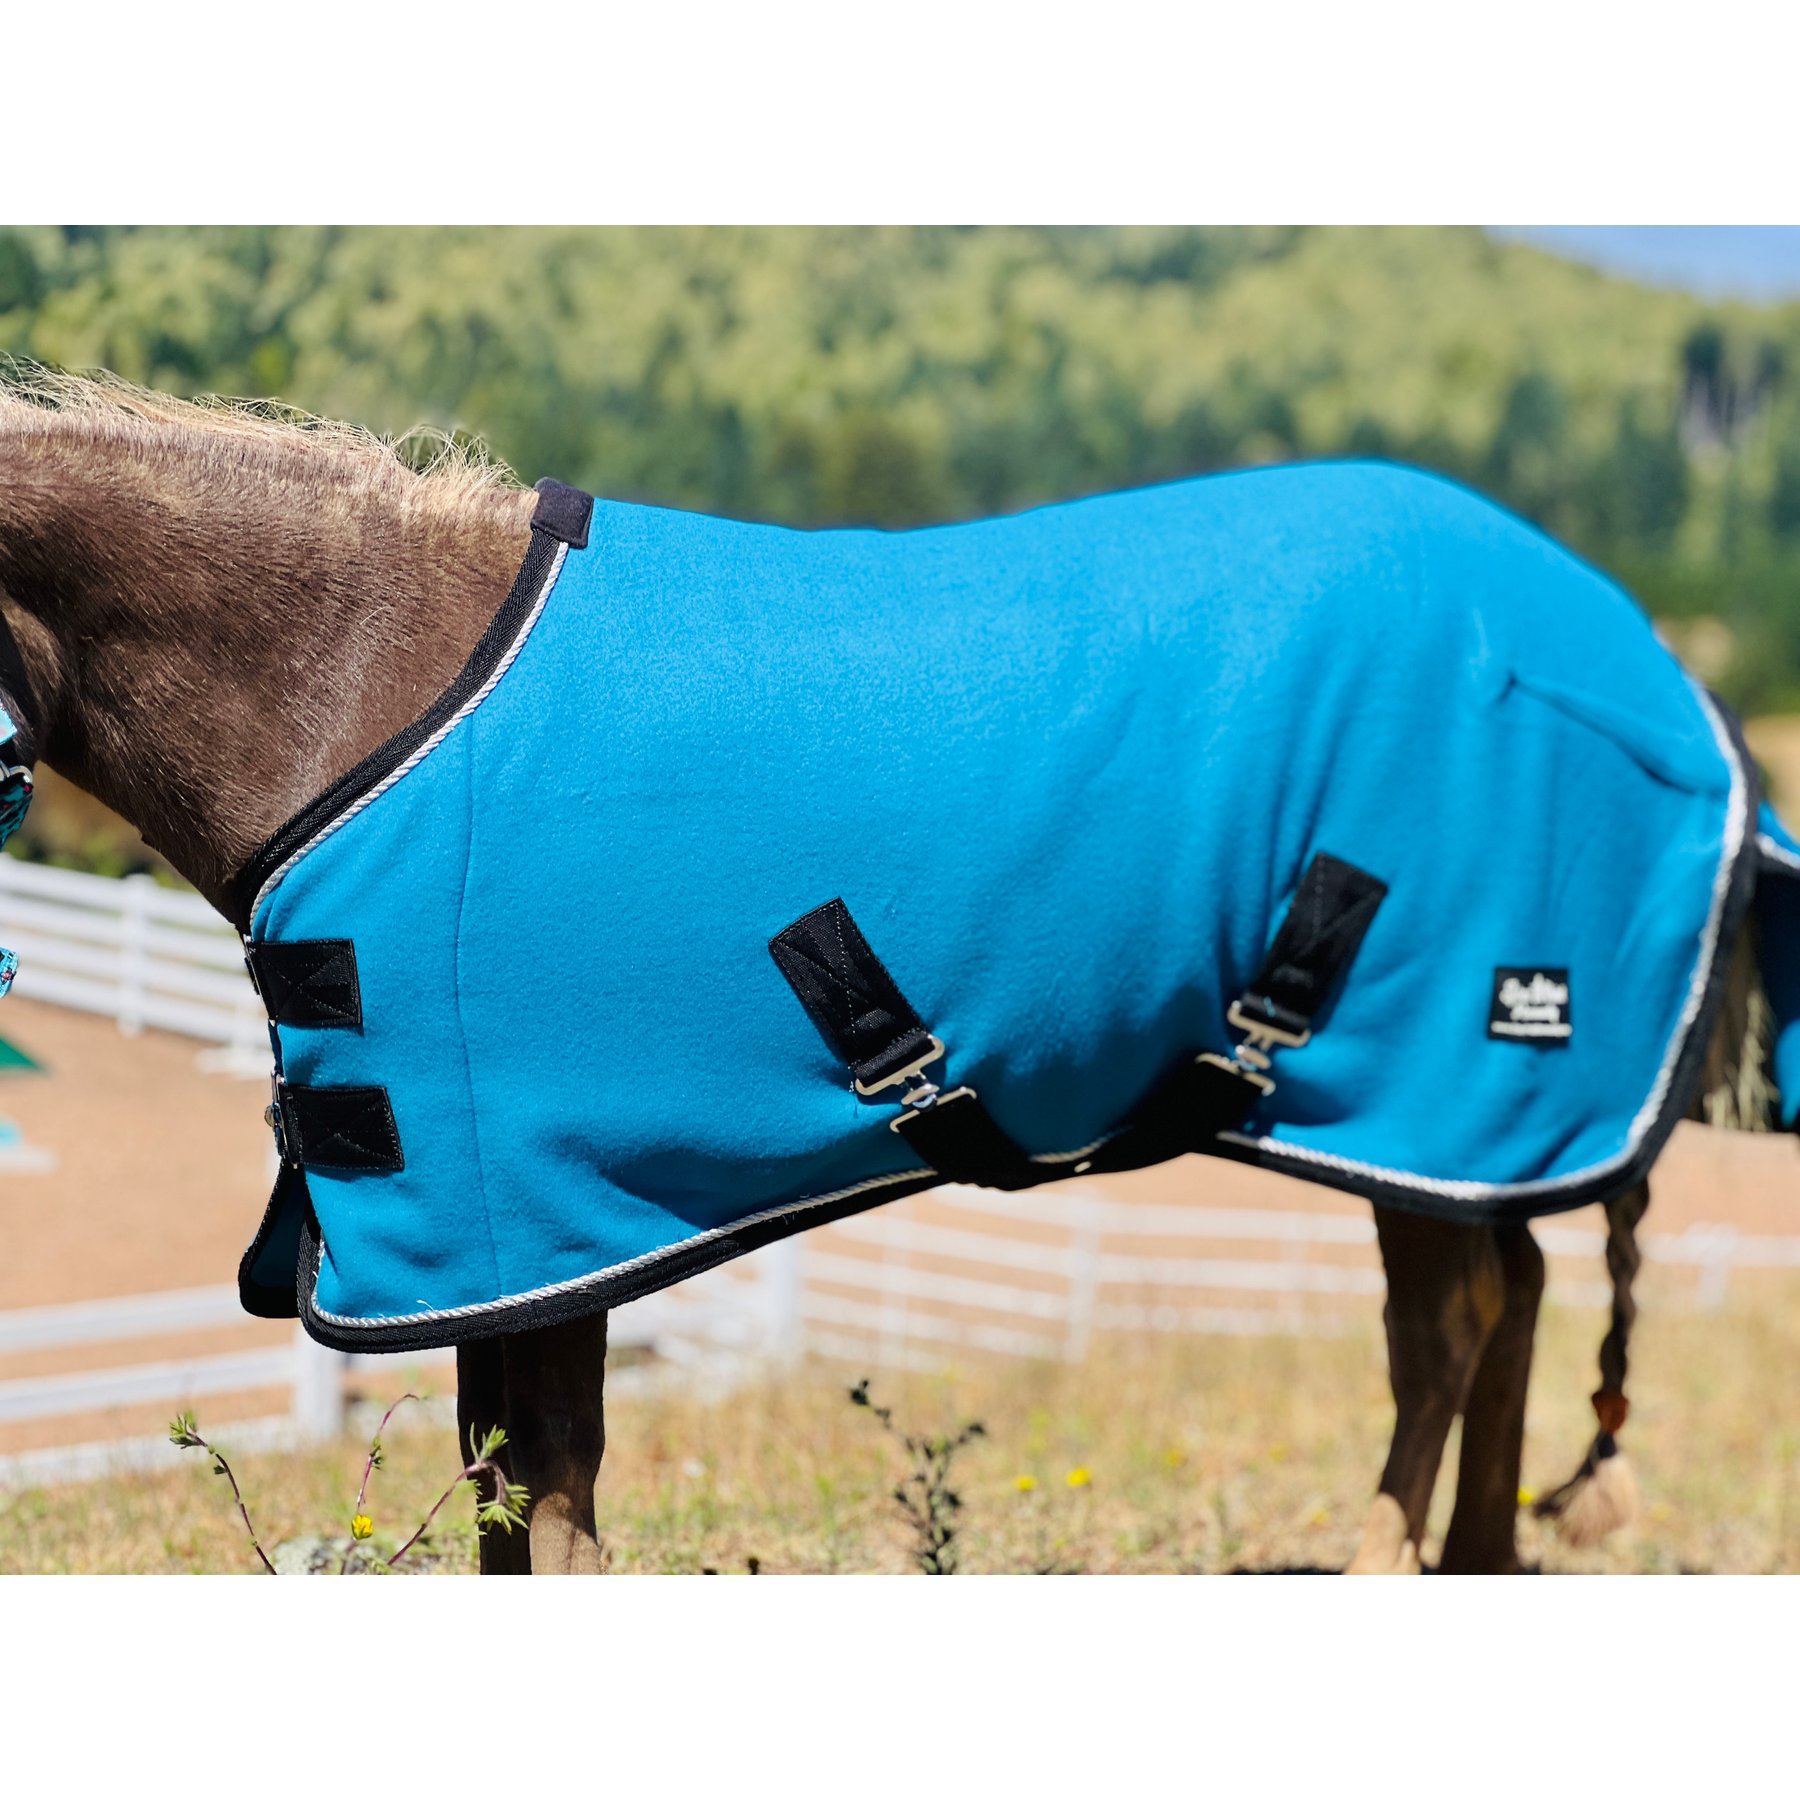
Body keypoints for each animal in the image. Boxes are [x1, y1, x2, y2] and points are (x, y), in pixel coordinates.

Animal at [0, 366, 1786, 1574]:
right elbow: (515, 1489)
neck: (369, 683)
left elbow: (548, 1497)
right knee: (1515, 1295)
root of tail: (1648, 665)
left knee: (1457, 1322)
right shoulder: (514, 1249)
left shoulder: (534, 1218)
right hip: (1447, 1130)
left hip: (1431, 1087)